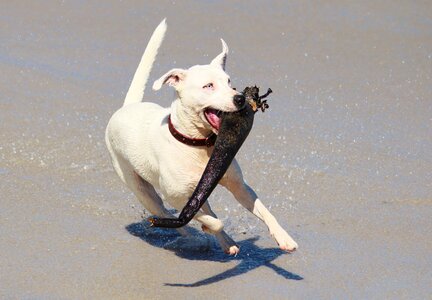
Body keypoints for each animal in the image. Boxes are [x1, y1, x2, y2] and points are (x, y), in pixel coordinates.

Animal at [106, 19, 298, 253]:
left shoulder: (238, 186)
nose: (240, 98)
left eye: (230, 83)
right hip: (142, 191)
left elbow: (263, 210)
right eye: (208, 86)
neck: (198, 144)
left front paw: (284, 238)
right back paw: (196, 237)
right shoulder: (177, 197)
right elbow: (212, 220)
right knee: (170, 216)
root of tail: (127, 106)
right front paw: (209, 230)